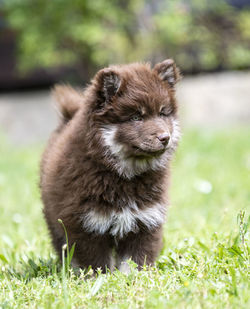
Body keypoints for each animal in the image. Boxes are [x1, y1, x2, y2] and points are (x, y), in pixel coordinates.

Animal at [40, 59, 181, 272]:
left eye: (163, 113)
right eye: (136, 117)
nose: (165, 137)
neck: (125, 175)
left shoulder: (146, 220)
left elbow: (135, 260)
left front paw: (132, 277)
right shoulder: (86, 223)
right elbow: (96, 262)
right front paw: (100, 277)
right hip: (53, 219)